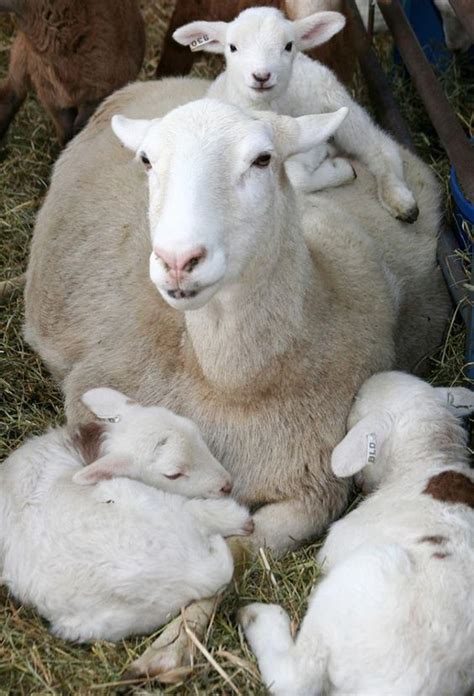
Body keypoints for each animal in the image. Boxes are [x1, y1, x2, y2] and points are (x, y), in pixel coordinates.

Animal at [174, 6, 418, 223]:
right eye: (232, 47)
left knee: (380, 147)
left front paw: (337, 166)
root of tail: (305, 59)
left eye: (288, 45)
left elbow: (298, 176)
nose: (261, 76)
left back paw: (400, 199)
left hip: (339, 104)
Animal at [241, 372, 474, 696]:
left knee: (296, 676)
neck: (424, 461)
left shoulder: (338, 544)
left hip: (350, 588)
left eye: (356, 403)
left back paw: (258, 617)